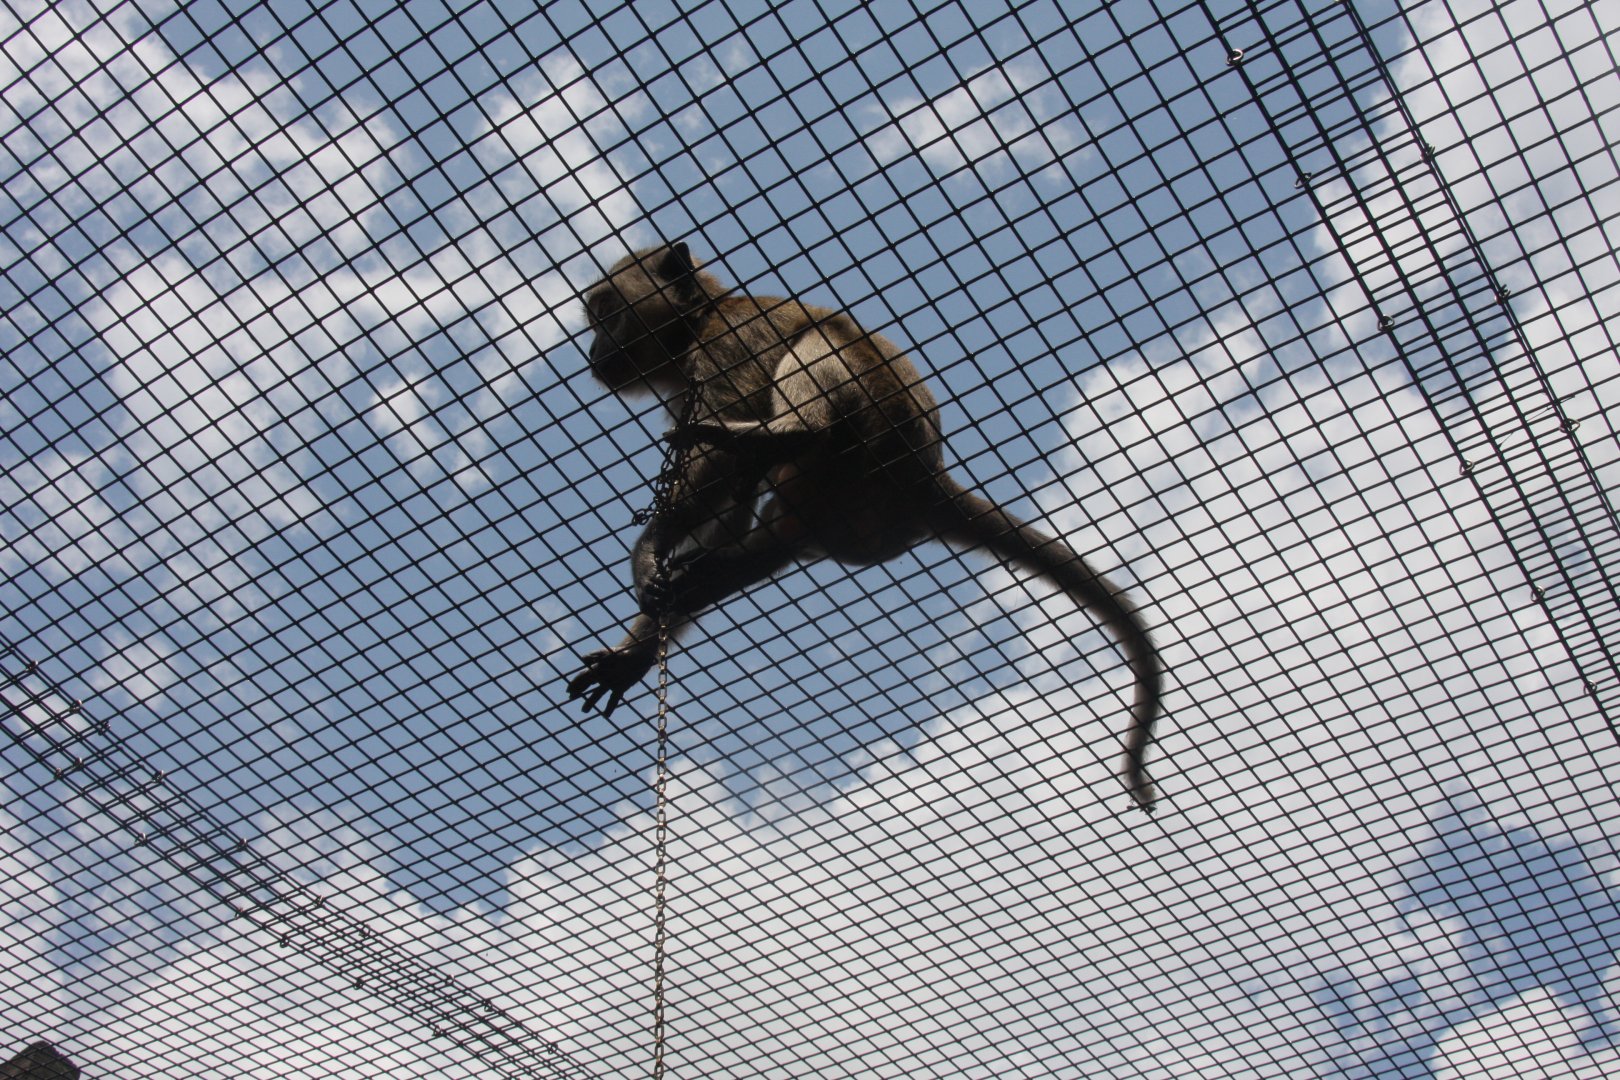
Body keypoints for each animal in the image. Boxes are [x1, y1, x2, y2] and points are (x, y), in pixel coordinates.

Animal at [566, 243, 1164, 810]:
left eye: (606, 313)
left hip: (884, 416)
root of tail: (928, 477)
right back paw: (710, 574)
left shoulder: (725, 345)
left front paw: (650, 549)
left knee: (826, 342)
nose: (594, 351)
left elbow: (719, 466)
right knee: (779, 531)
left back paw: (789, 433)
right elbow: (729, 516)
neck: (699, 321)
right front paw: (639, 646)